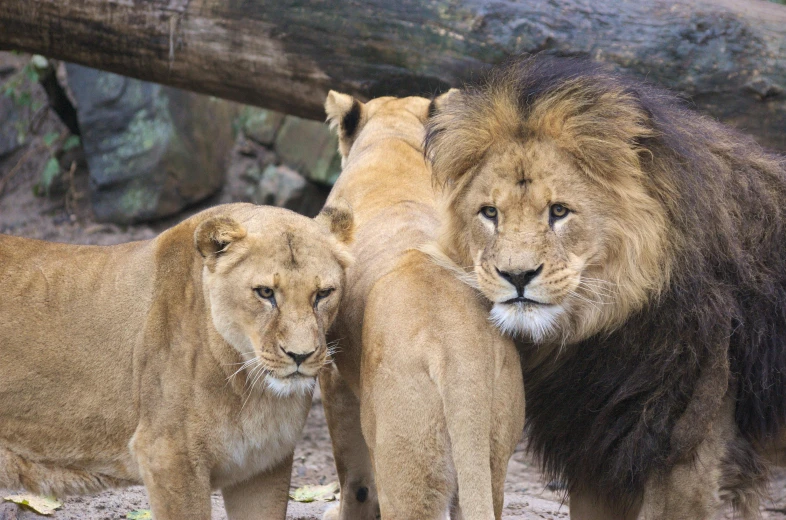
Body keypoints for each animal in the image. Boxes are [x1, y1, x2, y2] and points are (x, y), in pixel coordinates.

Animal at [0, 202, 350, 520]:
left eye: (323, 293)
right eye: (265, 292)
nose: (300, 355)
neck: (251, 387)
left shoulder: (263, 466)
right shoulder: (168, 456)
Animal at [316, 93, 524, 520]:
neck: (392, 142)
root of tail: (461, 356)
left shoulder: (333, 371)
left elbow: (354, 479)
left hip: (406, 455)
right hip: (491, 456)